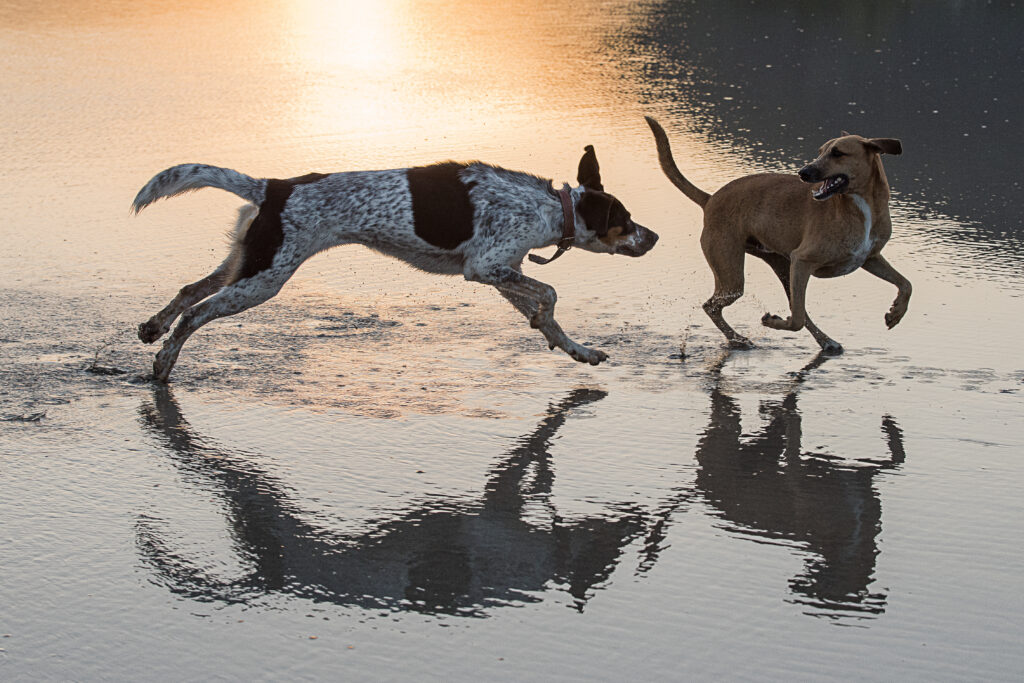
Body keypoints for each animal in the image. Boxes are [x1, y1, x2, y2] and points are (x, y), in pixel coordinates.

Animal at [134, 147, 655, 382]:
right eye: (625, 220)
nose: (654, 237)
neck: (549, 207)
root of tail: (273, 186)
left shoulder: (501, 272)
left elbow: (546, 316)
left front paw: (576, 349)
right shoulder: (485, 267)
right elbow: (549, 293)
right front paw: (554, 325)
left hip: (249, 265)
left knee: (189, 291)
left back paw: (153, 328)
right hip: (263, 279)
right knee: (194, 314)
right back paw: (164, 362)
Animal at [647, 116, 913, 352]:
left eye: (838, 153)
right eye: (820, 151)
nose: (803, 172)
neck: (860, 205)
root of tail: (710, 199)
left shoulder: (869, 258)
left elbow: (906, 283)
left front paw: (896, 313)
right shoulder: (802, 260)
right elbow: (795, 320)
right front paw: (771, 321)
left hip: (782, 268)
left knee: (796, 308)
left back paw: (826, 341)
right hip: (735, 274)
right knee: (712, 306)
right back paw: (739, 339)